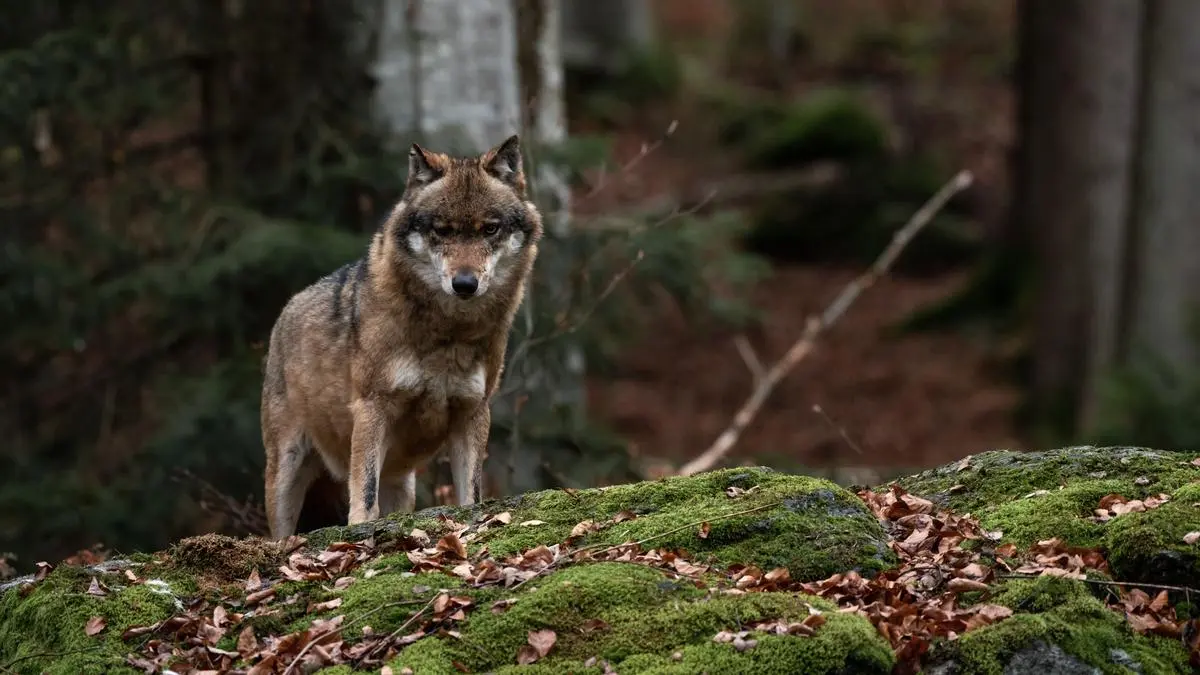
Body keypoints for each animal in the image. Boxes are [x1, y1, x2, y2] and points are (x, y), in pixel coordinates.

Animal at [260, 135, 542, 540]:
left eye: (490, 229)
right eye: (441, 230)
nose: (465, 284)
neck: (447, 333)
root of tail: (287, 309)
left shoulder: (473, 412)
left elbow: (471, 494)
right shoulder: (372, 407)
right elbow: (364, 493)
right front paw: (360, 530)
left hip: (401, 482)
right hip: (287, 470)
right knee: (282, 532)